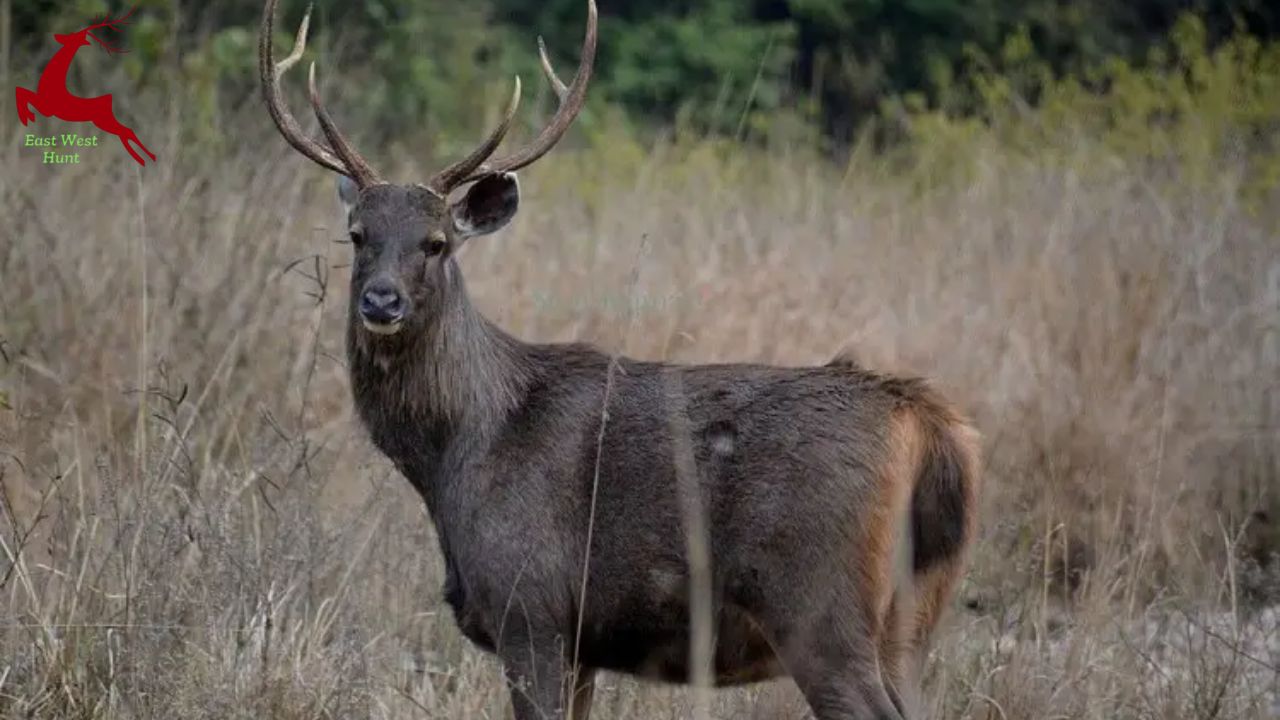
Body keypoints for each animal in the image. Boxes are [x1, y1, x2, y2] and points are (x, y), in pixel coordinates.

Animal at [259, 2, 977, 712]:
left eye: (436, 243)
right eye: (358, 236)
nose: (381, 301)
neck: (459, 450)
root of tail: (929, 424)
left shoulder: (532, 608)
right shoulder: (582, 645)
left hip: (820, 606)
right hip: (913, 614)